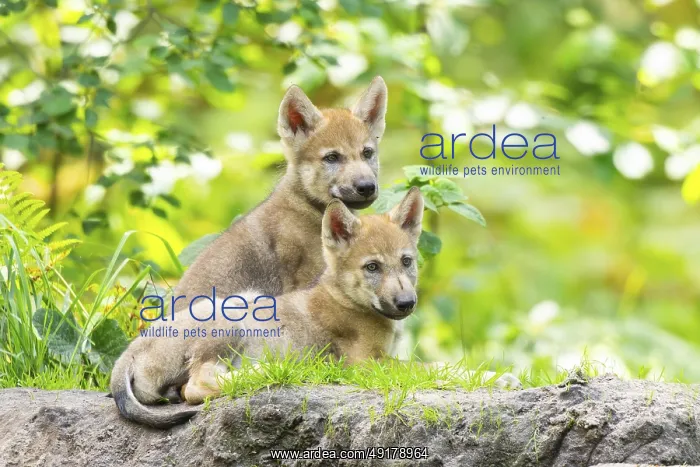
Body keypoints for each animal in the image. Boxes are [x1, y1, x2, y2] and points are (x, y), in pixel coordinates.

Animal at [110, 188, 424, 427]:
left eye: (406, 261)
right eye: (372, 267)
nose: (406, 303)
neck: (345, 298)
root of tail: (133, 347)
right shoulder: (366, 363)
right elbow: (424, 367)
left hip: (245, 297)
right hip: (229, 320)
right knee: (197, 385)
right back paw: (267, 371)